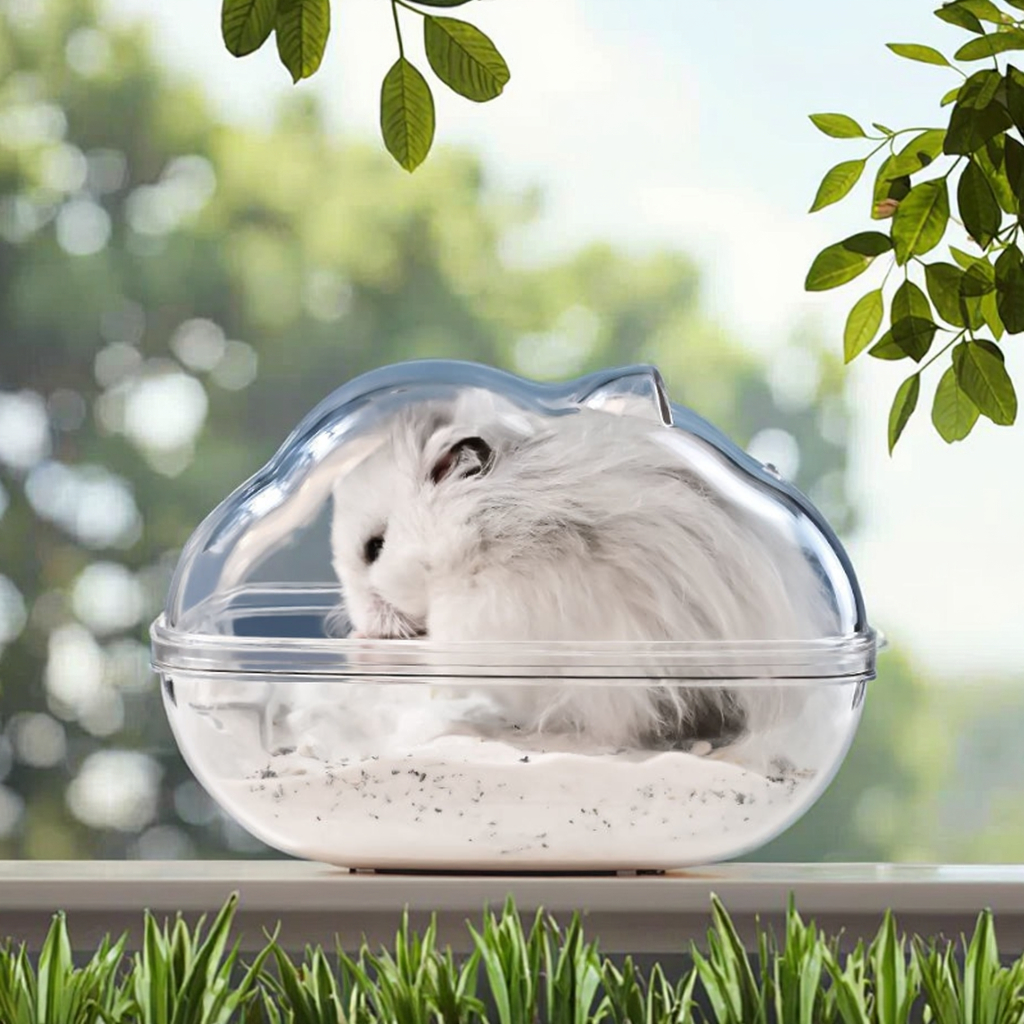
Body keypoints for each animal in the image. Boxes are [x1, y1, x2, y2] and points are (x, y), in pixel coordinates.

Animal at [327, 391, 838, 752]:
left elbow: (439, 650)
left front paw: (365, 647)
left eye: (374, 548)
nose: (359, 623)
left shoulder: (492, 617)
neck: (477, 534)